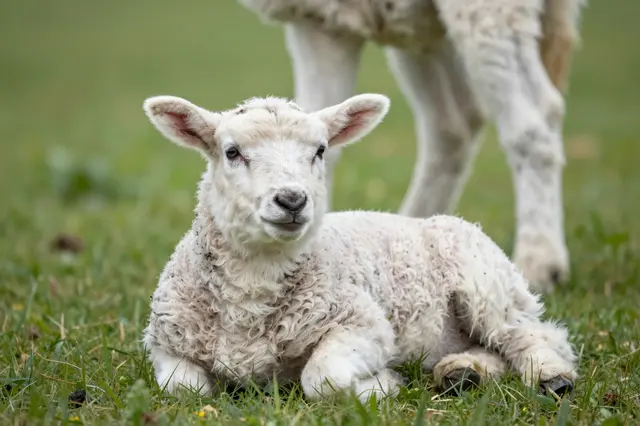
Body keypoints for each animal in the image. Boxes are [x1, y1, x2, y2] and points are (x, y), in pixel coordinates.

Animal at [141, 92, 578, 403]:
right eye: (232, 152)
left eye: (319, 151)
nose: (292, 200)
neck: (253, 287)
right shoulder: (166, 343)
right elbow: (184, 390)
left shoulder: (363, 323)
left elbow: (323, 379)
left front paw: (382, 385)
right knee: (492, 347)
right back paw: (464, 371)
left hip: (487, 285)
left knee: (531, 334)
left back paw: (552, 378)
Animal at [233, 0, 588, 293]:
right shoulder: (322, 22)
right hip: (419, 25)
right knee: (454, 123)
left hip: (485, 11)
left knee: (533, 119)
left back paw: (539, 261)